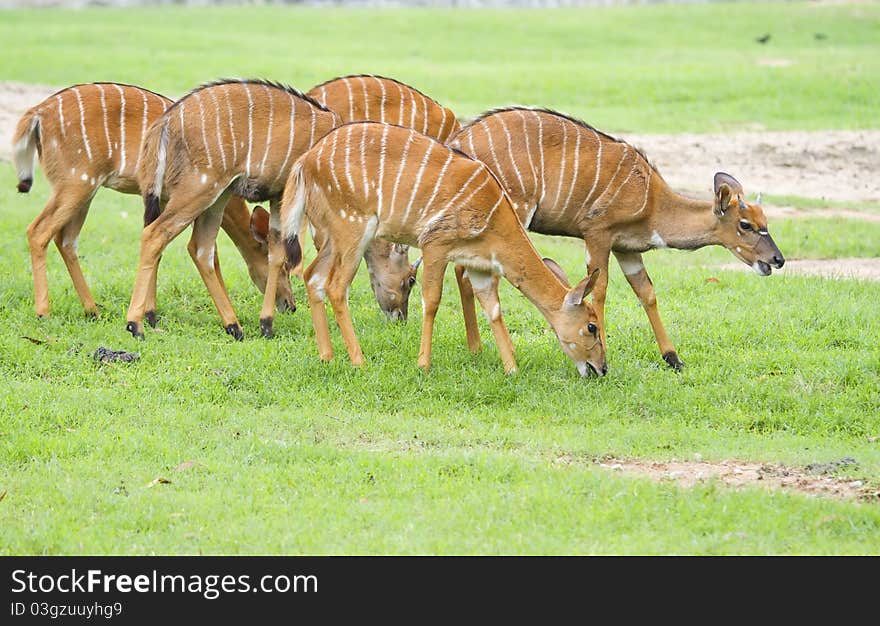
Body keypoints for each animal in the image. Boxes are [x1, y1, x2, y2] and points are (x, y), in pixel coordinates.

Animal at [11, 80, 292, 320]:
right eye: (286, 268)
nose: (290, 305)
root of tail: (37, 113)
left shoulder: (162, 200)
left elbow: (158, 249)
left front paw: (149, 313)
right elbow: (207, 254)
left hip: (85, 189)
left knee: (66, 239)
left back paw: (93, 310)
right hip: (76, 182)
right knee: (38, 231)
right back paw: (44, 312)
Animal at [127, 81, 340, 342]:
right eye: (288, 272)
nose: (290, 305)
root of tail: (165, 122)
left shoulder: (277, 196)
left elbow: (276, 251)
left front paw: (266, 324)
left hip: (218, 196)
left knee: (201, 248)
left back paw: (234, 326)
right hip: (199, 188)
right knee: (155, 234)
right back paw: (135, 324)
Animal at [258, 122, 608, 376]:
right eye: (592, 326)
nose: (601, 369)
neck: (494, 216)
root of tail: (305, 162)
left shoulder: (479, 264)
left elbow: (493, 308)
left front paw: (511, 368)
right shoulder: (435, 244)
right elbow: (432, 301)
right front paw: (423, 364)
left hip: (334, 235)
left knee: (312, 275)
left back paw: (327, 356)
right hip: (353, 228)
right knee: (335, 286)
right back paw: (359, 360)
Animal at [446, 109, 784, 368]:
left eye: (765, 222)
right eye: (746, 225)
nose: (777, 259)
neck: (653, 201)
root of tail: (459, 139)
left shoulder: (627, 249)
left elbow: (646, 292)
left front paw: (673, 358)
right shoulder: (597, 233)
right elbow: (600, 291)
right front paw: (605, 353)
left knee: (464, 272)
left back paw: (476, 348)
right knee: (472, 274)